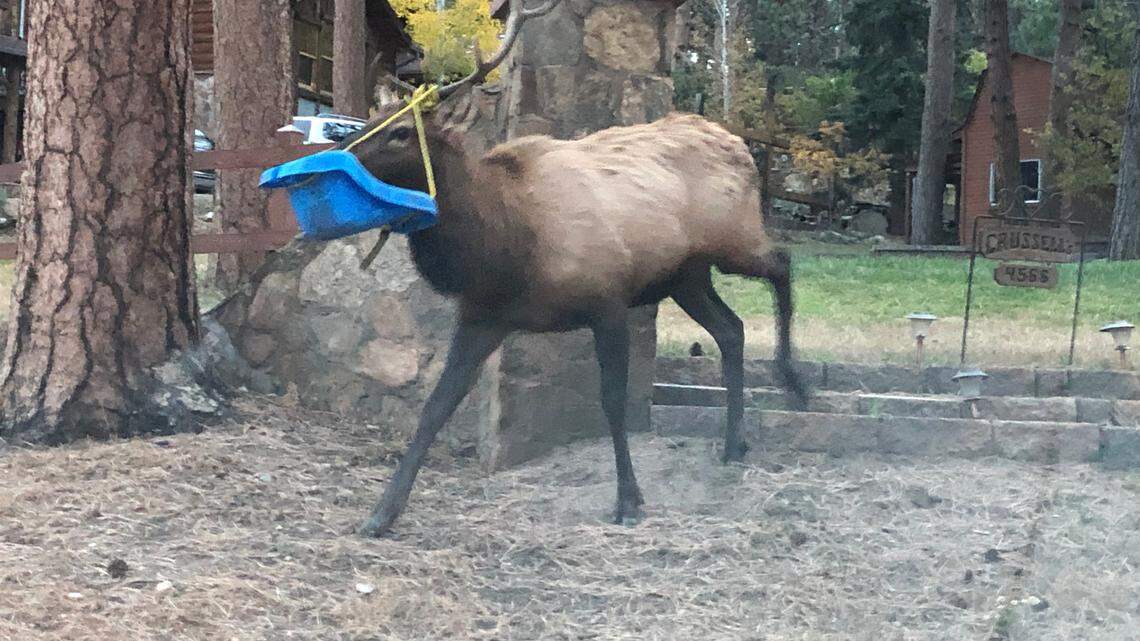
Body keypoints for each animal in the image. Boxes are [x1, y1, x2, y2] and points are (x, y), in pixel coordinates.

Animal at [349, 0, 808, 538]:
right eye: (370, 120)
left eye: (402, 133)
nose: (335, 156)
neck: (505, 251)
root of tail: (739, 143)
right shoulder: (483, 317)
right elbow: (436, 406)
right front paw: (382, 512)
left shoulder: (606, 301)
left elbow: (612, 400)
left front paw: (628, 499)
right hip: (685, 276)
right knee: (731, 328)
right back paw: (735, 442)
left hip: (732, 239)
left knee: (782, 262)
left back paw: (793, 383)